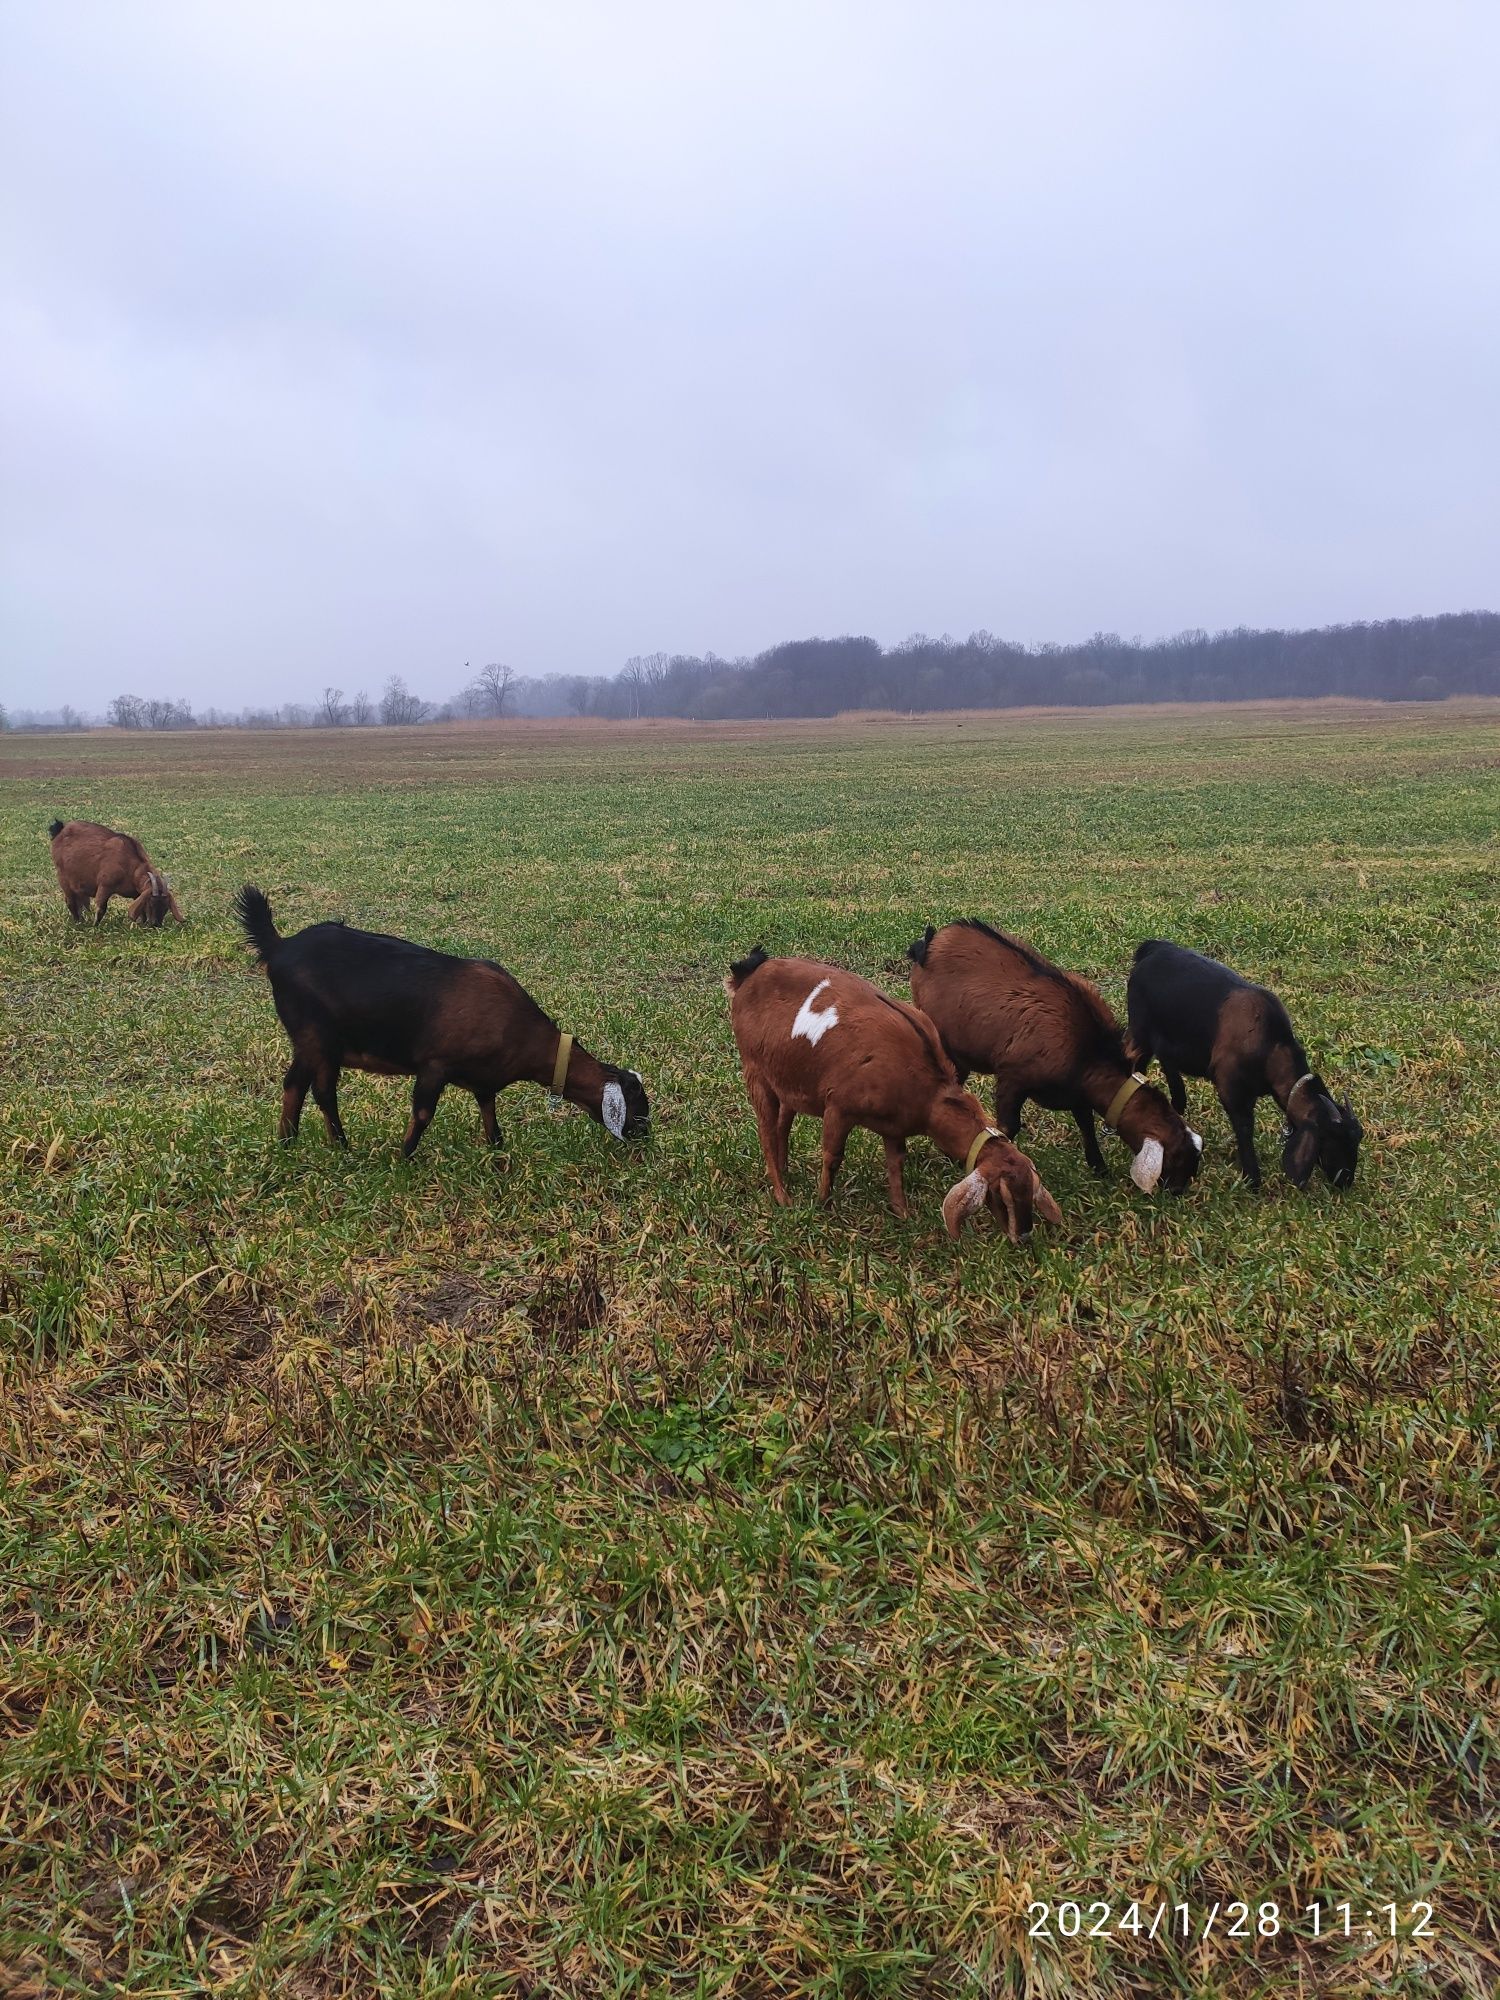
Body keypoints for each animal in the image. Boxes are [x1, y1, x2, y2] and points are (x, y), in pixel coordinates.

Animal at [48, 816, 184, 924]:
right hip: (63, 877)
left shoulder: (137, 894)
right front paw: (95, 926)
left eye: (166, 906)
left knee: (82, 902)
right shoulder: (105, 885)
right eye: (151, 903)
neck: (132, 867)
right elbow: (101, 908)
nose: (156, 924)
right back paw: (78, 922)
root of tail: (60, 829)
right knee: (70, 902)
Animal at [238, 892, 648, 1160]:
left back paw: (325, 1146)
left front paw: (498, 1151)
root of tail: (279, 947)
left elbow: (489, 1113)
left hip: (325, 1046)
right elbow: (423, 1114)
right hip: (313, 1037)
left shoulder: (484, 1079)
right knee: (302, 1086)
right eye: (637, 1105)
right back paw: (298, 1146)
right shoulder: (434, 1065)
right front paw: (404, 1158)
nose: (645, 1137)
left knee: (316, 1090)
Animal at [732, 944, 1072, 1240]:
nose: (1023, 1236)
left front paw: (902, 1213)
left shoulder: (894, 1127)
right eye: (1002, 1195)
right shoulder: (839, 1106)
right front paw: (823, 1203)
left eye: (1031, 1189)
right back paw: (782, 1195)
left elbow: (896, 1165)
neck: (929, 1091)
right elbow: (832, 1155)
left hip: (787, 1078)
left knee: (782, 1125)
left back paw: (785, 1171)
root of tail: (749, 973)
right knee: (766, 1132)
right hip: (755, 1070)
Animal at [904, 916, 1208, 1192]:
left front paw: (1099, 1168)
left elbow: (1086, 1124)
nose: (1177, 1192)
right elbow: (1008, 1127)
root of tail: (929, 944)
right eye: (1176, 1159)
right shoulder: (1013, 1078)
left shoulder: (1077, 1094)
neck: (1088, 1051)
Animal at [1128, 936, 1360, 1184]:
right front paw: (1253, 1178)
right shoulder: (1230, 1086)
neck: (1272, 1046)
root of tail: (1152, 949)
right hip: (1139, 1030)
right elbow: (1245, 1127)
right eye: (1332, 1139)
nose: (1346, 1181)